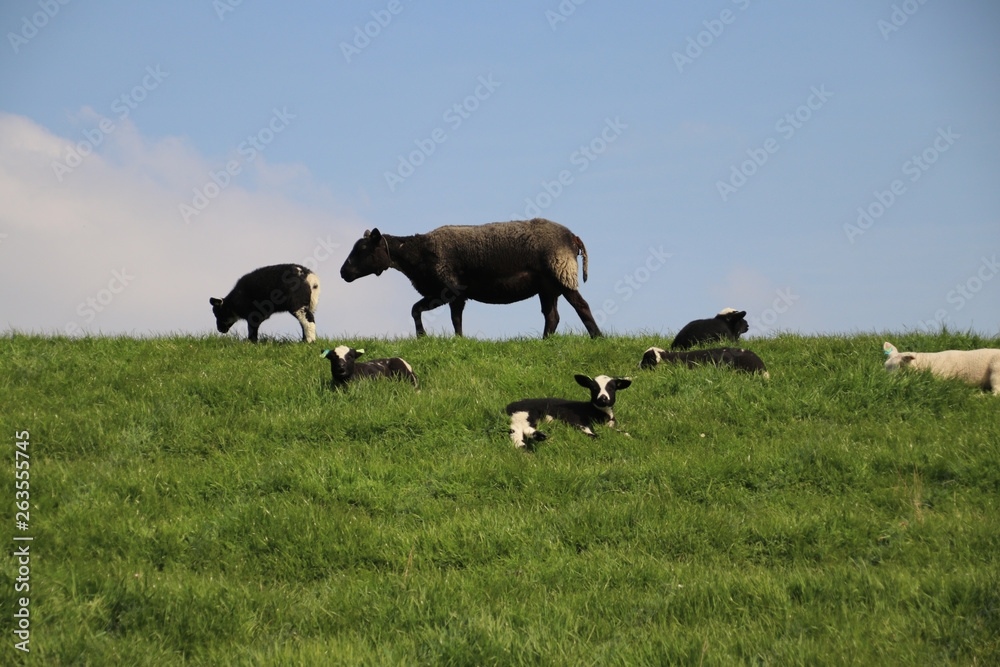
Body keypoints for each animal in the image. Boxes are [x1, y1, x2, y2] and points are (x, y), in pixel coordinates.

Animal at [339, 218, 601, 339]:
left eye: (363, 249)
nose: (343, 273)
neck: (417, 253)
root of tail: (572, 237)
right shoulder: (443, 292)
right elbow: (420, 310)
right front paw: (426, 337)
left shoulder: (451, 288)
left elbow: (451, 319)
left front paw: (453, 339)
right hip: (548, 287)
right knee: (552, 316)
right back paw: (544, 342)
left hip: (561, 272)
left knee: (582, 306)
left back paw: (597, 337)